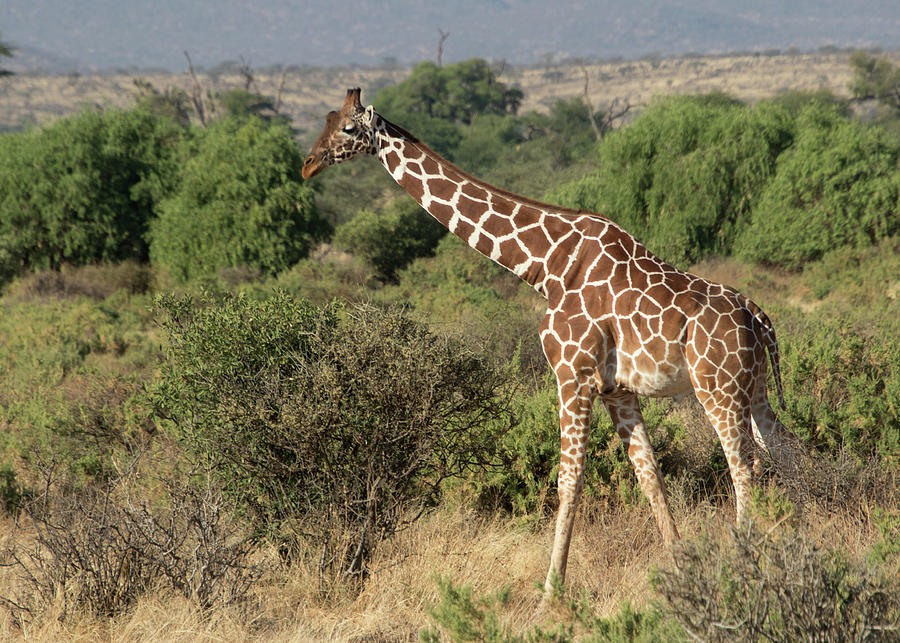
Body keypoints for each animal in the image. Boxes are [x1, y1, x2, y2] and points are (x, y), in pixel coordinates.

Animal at [304, 89, 800, 592]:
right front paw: (680, 566)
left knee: (743, 467)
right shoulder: (617, 390)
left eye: (347, 128)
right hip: (754, 389)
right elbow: (649, 476)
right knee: (785, 449)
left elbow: (568, 480)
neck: (546, 265)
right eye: (325, 119)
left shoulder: (572, 374)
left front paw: (551, 591)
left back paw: (744, 561)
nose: (307, 165)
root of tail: (758, 316)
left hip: (718, 389)